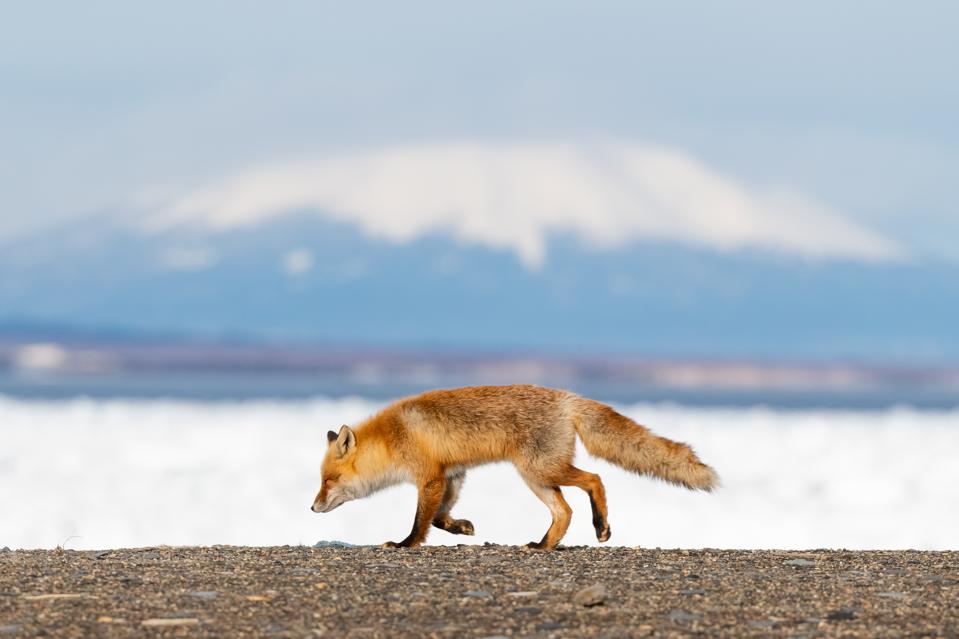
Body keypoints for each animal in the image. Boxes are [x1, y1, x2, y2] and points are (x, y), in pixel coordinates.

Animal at [310, 384, 717, 550]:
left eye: (329, 479)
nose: (312, 507)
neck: (394, 436)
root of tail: (569, 398)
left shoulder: (430, 477)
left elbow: (420, 521)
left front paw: (404, 544)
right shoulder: (452, 475)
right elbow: (440, 518)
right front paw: (462, 528)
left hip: (539, 470)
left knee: (594, 479)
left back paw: (600, 526)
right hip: (538, 477)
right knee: (564, 512)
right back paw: (543, 545)